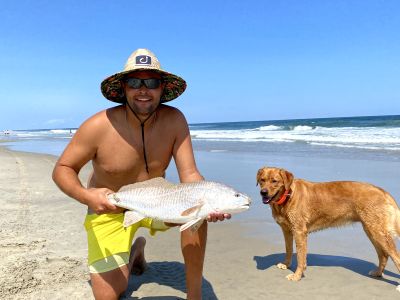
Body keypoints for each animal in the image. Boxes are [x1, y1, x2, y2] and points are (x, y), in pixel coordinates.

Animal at [256, 168, 400, 284]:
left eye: (274, 181)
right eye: (262, 180)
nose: (263, 192)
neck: (287, 196)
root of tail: (383, 191)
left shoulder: (299, 232)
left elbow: (300, 257)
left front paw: (297, 276)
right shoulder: (287, 230)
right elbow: (289, 249)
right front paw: (286, 264)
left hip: (377, 231)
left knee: (395, 256)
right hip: (371, 230)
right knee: (384, 255)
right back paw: (378, 273)